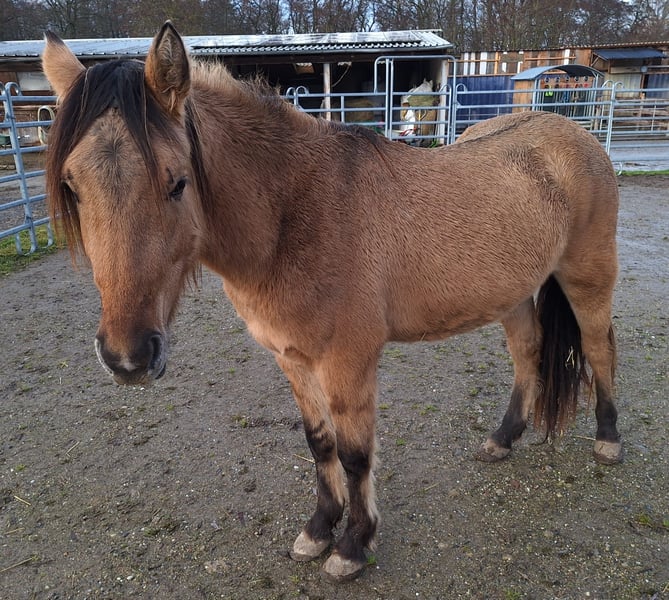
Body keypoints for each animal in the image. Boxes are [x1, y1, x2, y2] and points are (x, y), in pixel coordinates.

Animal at [42, 22, 622, 582]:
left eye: (177, 182)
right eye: (72, 185)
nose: (127, 358)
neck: (295, 212)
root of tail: (573, 134)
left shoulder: (348, 361)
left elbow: (355, 454)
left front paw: (353, 546)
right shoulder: (293, 359)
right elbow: (320, 444)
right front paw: (319, 529)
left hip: (587, 277)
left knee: (598, 348)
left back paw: (608, 439)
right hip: (514, 293)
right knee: (528, 353)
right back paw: (502, 439)